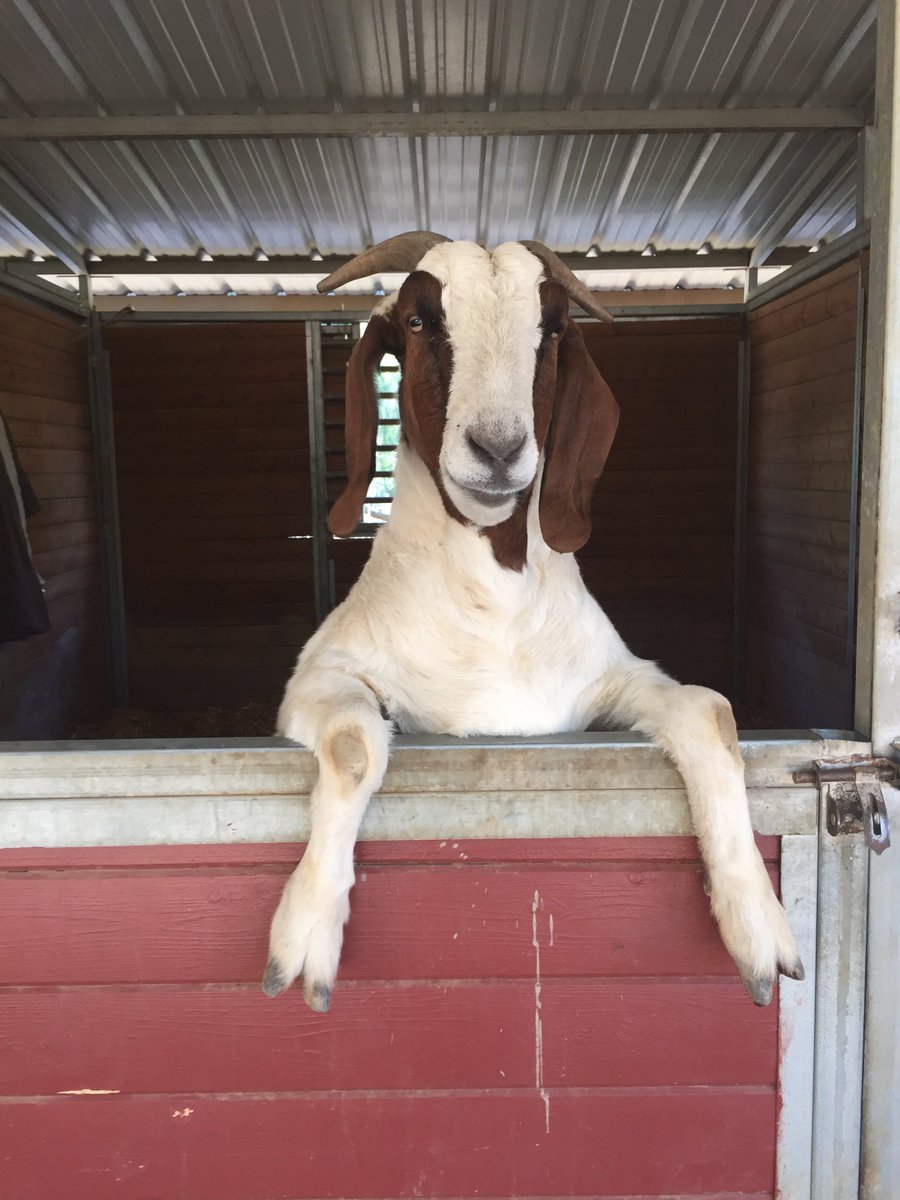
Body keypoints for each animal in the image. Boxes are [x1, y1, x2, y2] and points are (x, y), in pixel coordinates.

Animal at [263, 231, 803, 1013]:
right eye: (419, 323)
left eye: (549, 330)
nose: (497, 449)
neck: (496, 603)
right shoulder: (320, 675)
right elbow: (354, 744)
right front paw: (305, 930)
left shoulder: (611, 683)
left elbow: (710, 714)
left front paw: (759, 926)